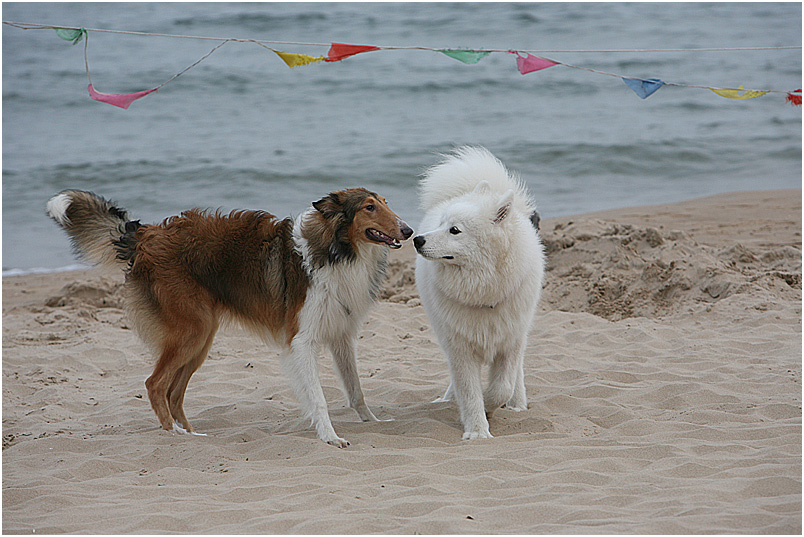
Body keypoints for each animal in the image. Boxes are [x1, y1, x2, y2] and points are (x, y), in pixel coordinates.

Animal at [414, 147, 548, 440]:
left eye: (455, 230)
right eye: (441, 223)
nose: (417, 239)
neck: (484, 292)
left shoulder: (510, 340)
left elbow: (502, 387)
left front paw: (491, 405)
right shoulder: (460, 347)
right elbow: (469, 390)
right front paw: (477, 429)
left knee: (517, 375)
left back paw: (518, 403)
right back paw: (448, 398)